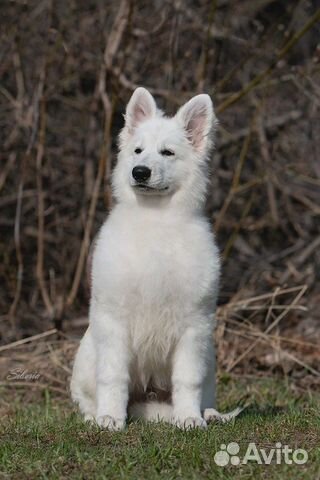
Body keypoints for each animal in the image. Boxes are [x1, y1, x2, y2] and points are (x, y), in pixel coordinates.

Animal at [70, 87, 240, 432]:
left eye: (167, 153)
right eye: (138, 151)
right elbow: (113, 376)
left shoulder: (193, 327)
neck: (156, 220)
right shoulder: (114, 322)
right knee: (87, 397)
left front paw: (188, 418)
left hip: (209, 357)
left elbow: (187, 380)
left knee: (203, 394)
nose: (140, 172)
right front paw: (111, 418)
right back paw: (96, 415)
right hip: (87, 356)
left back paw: (207, 414)